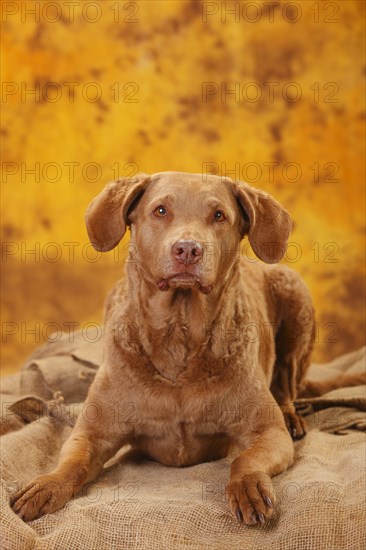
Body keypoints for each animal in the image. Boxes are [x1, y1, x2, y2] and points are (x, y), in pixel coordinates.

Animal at [10, 171, 314, 528]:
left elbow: (244, 461)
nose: (188, 249)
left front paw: (248, 488)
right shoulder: (92, 432)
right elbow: (73, 462)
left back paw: (291, 416)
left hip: (295, 297)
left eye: (219, 215)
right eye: (160, 210)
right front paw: (45, 486)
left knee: (287, 380)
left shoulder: (267, 432)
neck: (178, 338)